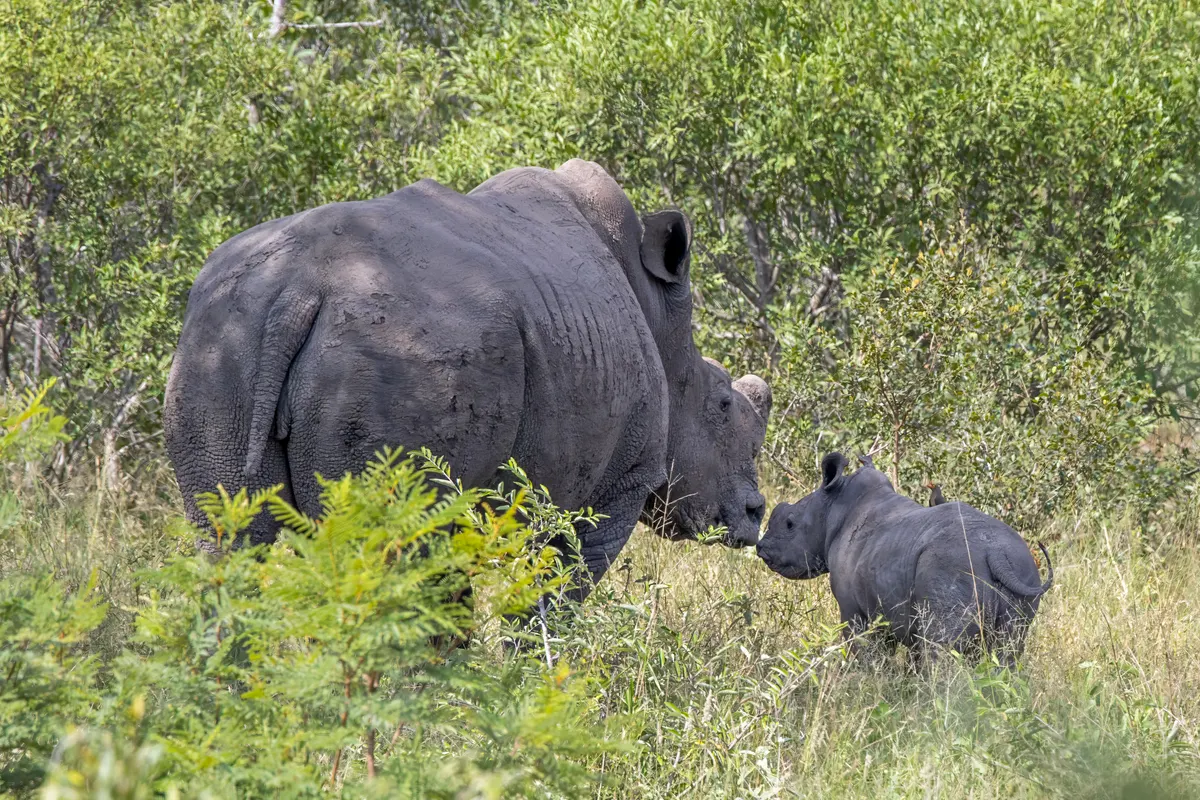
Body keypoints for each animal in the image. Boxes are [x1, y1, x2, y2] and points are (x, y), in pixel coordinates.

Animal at [164, 159, 771, 602]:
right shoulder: (612, 487)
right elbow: (555, 593)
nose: (754, 515)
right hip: (406, 350)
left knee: (229, 545)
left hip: (224, 331)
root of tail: (298, 289)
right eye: (722, 404)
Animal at [757, 453, 1052, 665]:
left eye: (790, 524)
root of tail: (996, 554)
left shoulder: (854, 609)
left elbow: (863, 651)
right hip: (1022, 568)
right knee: (1008, 649)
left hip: (950, 567)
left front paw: (863, 683)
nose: (761, 548)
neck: (833, 510)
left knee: (941, 648)